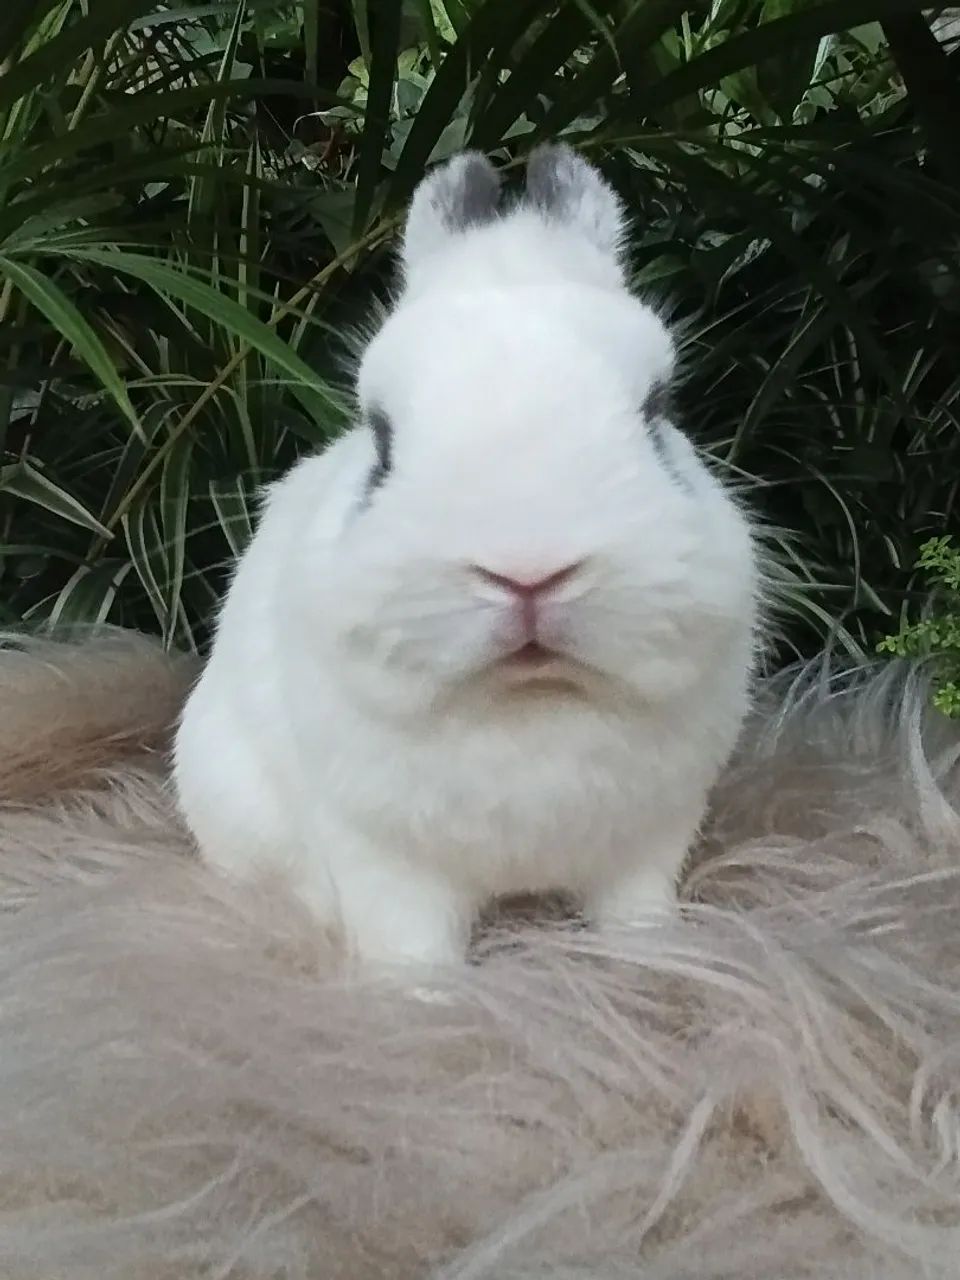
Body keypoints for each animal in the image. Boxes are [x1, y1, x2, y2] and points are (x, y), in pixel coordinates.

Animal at [173, 144, 759, 974]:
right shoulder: (382, 862)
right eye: (381, 438)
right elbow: (410, 948)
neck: (527, 701)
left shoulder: (648, 846)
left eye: (658, 411)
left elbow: (637, 918)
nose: (529, 571)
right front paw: (421, 994)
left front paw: (656, 963)